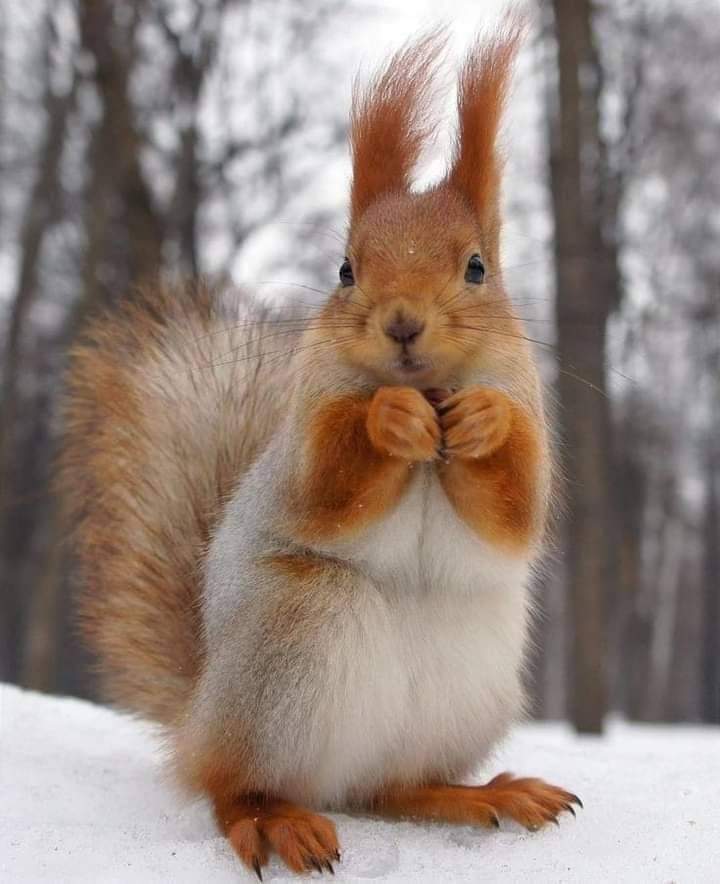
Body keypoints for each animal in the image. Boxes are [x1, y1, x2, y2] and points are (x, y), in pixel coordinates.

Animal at [61, 23, 580, 879]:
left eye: (477, 267)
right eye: (345, 269)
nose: (402, 322)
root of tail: (201, 713)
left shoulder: (529, 411)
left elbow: (514, 512)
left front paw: (484, 423)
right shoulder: (303, 441)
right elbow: (327, 488)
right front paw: (387, 419)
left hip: (465, 690)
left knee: (391, 787)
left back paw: (474, 794)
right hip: (291, 643)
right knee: (233, 784)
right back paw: (273, 821)